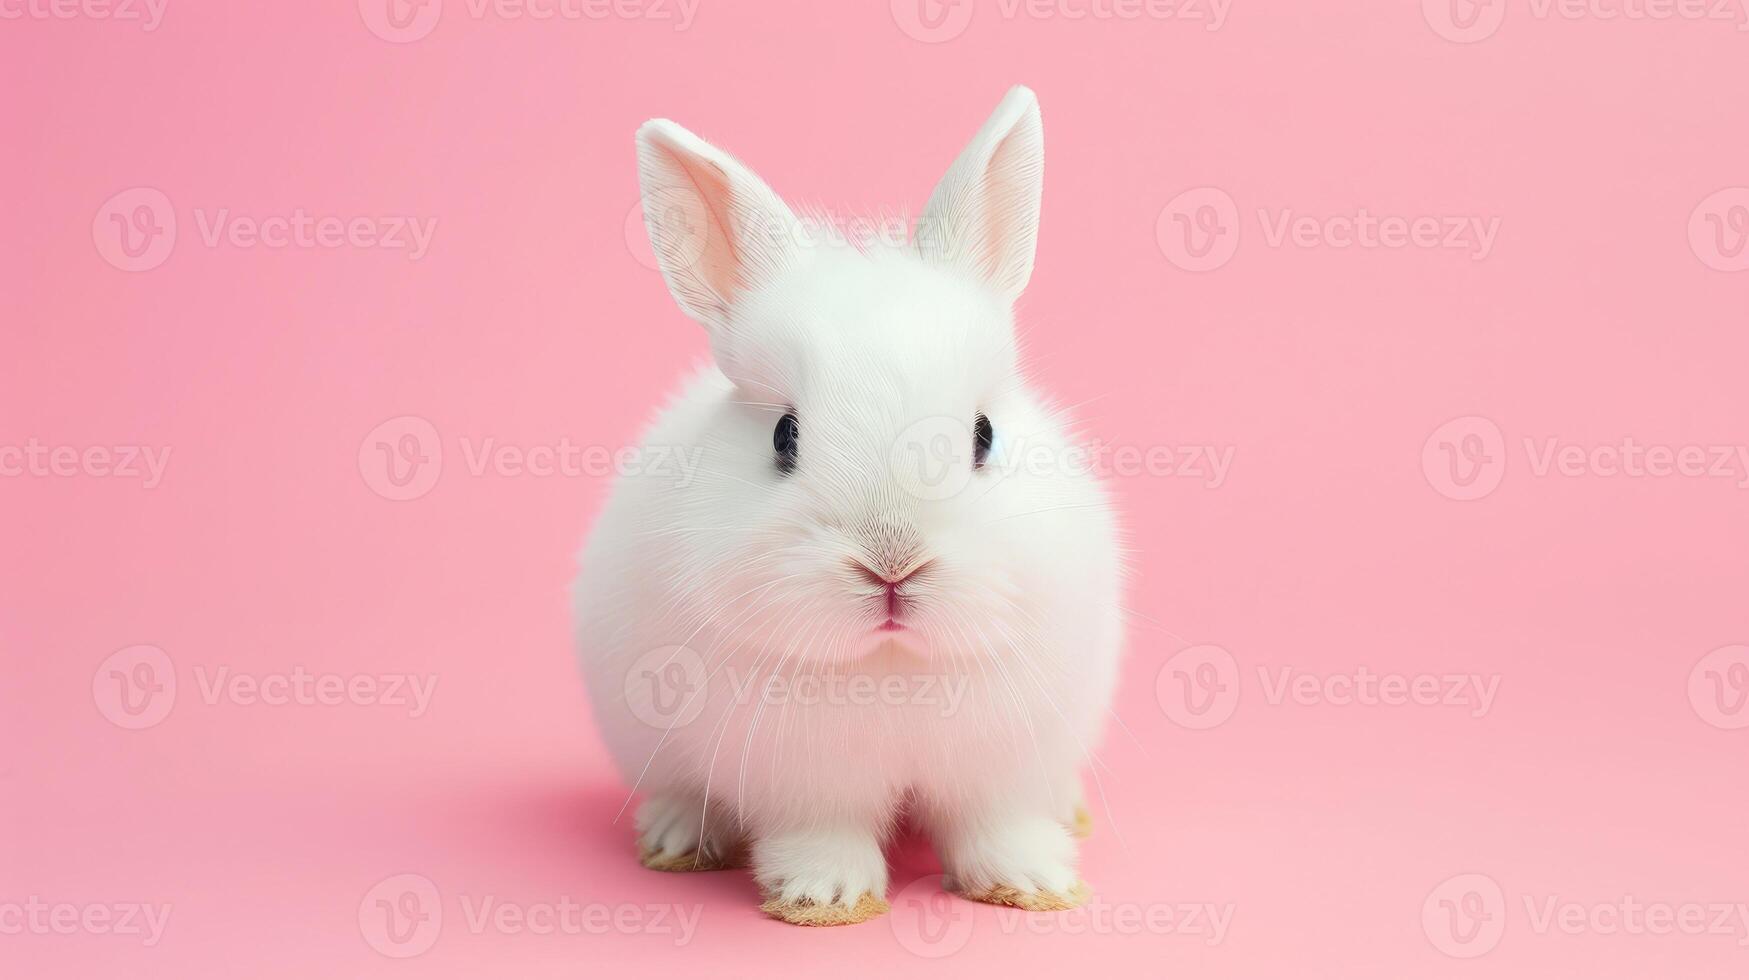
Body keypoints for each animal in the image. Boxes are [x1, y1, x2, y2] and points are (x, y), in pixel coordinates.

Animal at [573, 86, 1119, 924]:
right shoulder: (801, 782)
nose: (892, 564)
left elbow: (998, 823)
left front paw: (1031, 882)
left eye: (983, 434)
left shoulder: (1004, 765)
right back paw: (676, 840)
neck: (889, 668)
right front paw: (823, 897)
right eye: (784, 435)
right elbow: (820, 834)